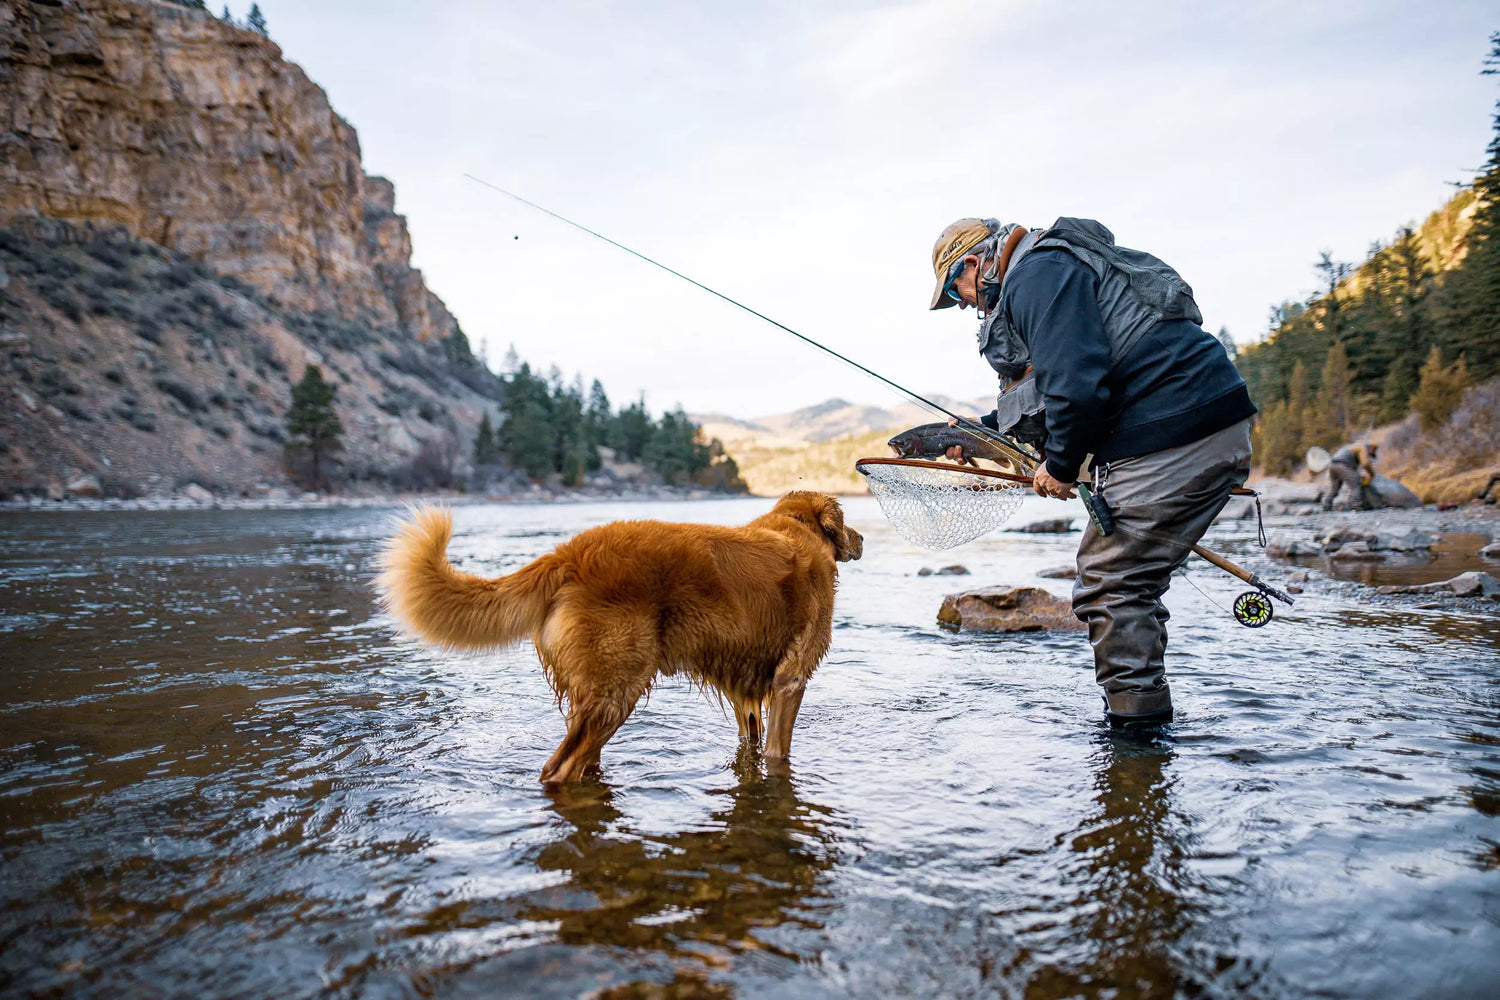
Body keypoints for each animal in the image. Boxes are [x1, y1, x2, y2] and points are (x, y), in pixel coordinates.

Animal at [381, 497, 864, 785]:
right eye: (848, 524)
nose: (861, 538)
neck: (794, 528)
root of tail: (569, 554)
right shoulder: (790, 680)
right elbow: (779, 753)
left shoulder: (744, 692)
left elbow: (752, 741)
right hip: (616, 690)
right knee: (558, 769)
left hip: (595, 697)